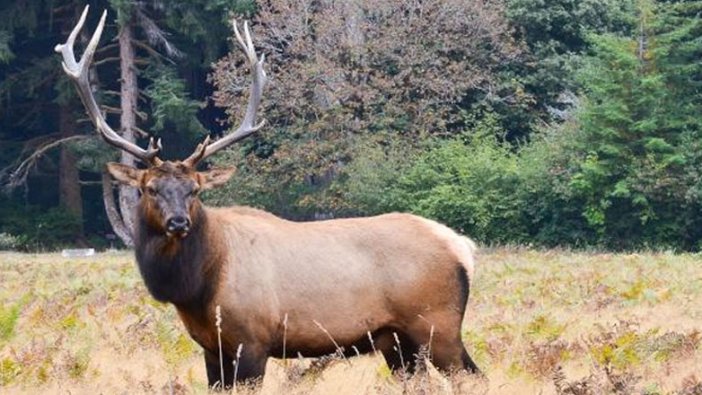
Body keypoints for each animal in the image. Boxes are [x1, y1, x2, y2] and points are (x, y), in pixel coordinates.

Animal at [57, 5, 482, 390]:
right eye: (149, 188)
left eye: (195, 190)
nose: (179, 222)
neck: (198, 287)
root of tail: (461, 246)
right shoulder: (211, 348)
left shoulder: (252, 341)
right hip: (396, 340)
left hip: (437, 324)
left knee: (472, 377)